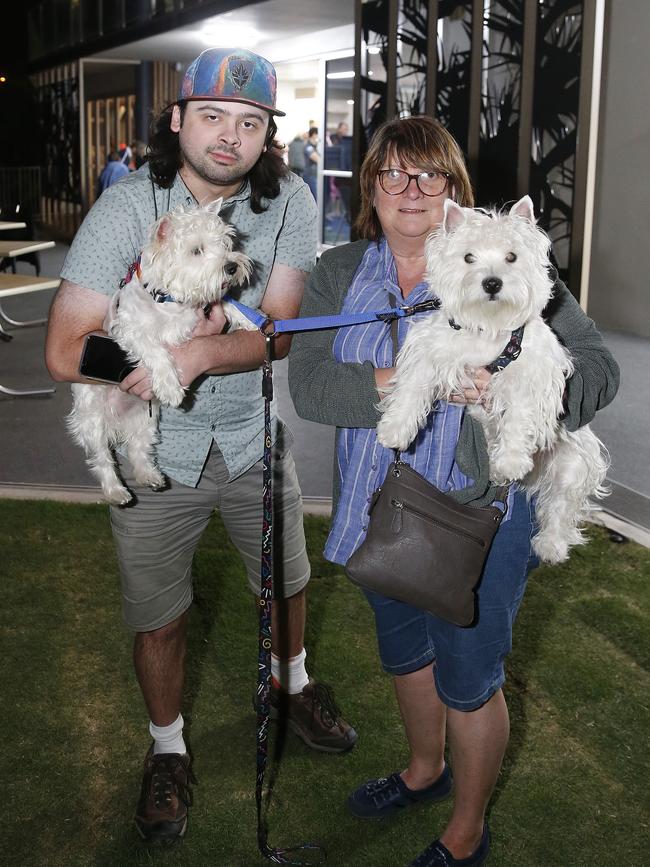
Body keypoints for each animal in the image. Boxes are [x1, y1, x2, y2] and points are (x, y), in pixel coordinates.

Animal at [68, 199, 254, 506]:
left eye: (224, 242)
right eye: (196, 250)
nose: (231, 266)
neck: (169, 300)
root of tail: (118, 418)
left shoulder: (200, 304)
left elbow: (224, 302)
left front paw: (251, 321)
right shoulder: (131, 332)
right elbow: (157, 352)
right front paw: (171, 388)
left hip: (147, 418)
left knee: (139, 450)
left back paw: (151, 477)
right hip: (92, 418)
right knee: (103, 458)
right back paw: (117, 491)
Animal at [374, 196, 608, 564]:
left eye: (512, 256)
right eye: (469, 257)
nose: (492, 283)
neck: (489, 327)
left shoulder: (528, 376)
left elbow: (518, 418)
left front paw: (512, 458)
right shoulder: (432, 351)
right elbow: (412, 386)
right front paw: (394, 430)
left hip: (573, 461)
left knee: (560, 505)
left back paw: (550, 543)